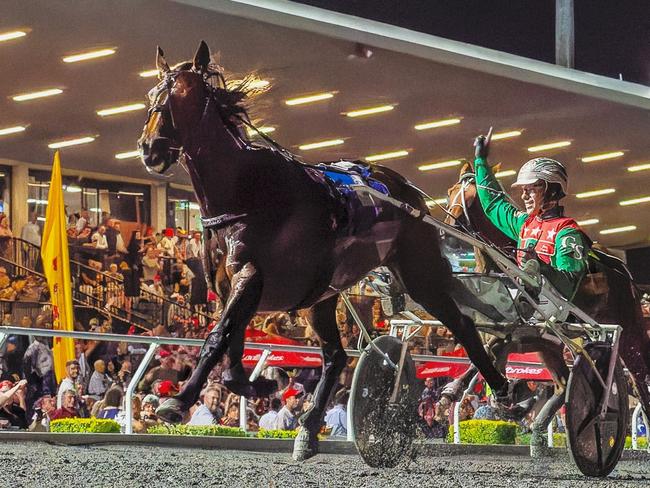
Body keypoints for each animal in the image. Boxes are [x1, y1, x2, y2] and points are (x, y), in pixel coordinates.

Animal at [137, 42, 552, 462]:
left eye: (180, 98)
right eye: (153, 96)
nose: (149, 149)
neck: (248, 190)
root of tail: (409, 192)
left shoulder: (252, 277)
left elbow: (218, 336)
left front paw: (179, 401)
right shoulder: (233, 288)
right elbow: (230, 344)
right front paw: (254, 386)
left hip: (418, 274)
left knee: (463, 325)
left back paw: (505, 390)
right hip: (322, 295)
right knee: (335, 355)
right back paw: (307, 431)